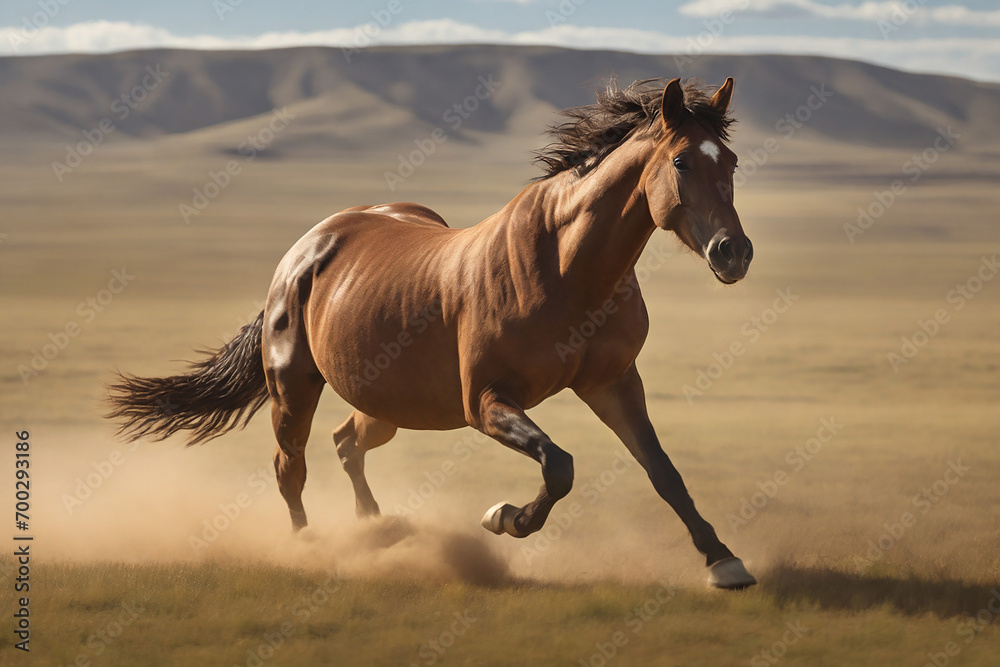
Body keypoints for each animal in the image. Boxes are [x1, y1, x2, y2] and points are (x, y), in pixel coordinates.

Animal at [107, 76, 756, 589]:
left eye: (730, 162)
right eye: (682, 162)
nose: (735, 253)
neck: (567, 269)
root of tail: (306, 248)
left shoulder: (613, 384)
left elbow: (663, 471)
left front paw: (723, 561)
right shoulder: (486, 401)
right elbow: (559, 464)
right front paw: (505, 518)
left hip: (389, 403)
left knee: (346, 442)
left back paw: (378, 530)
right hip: (295, 388)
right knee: (290, 466)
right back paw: (310, 548)